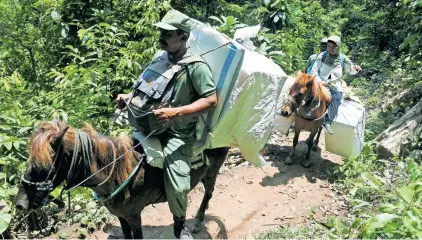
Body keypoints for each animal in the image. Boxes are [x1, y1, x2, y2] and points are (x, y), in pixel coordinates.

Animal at [14, 119, 229, 239]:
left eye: (43, 167)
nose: (20, 204)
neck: (116, 172)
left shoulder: (134, 215)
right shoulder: (120, 215)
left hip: (212, 172)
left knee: (208, 194)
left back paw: (197, 222)